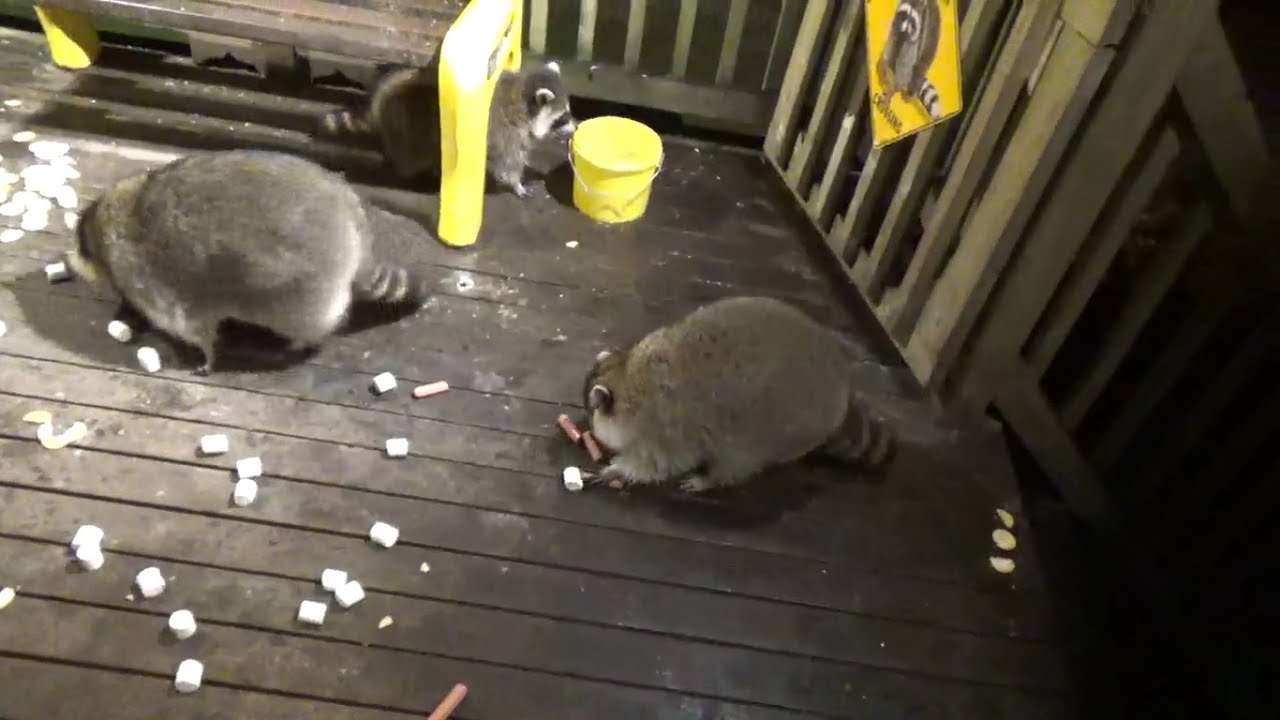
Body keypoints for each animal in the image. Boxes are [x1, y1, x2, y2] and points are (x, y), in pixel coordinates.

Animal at [67, 150, 432, 375]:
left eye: (82, 244)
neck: (111, 221)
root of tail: (353, 227)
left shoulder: (157, 283)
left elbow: (193, 326)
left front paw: (206, 354)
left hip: (302, 290)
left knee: (310, 321)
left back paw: (300, 340)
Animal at [318, 61, 575, 198]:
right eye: (562, 117)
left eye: (568, 112)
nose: (575, 128)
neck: (523, 94)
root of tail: (379, 101)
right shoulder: (507, 131)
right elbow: (508, 164)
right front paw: (517, 184)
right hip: (409, 127)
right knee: (410, 158)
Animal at [582, 296, 895, 493]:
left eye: (591, 414)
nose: (588, 431)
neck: (628, 376)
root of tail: (841, 380)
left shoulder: (665, 429)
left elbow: (659, 464)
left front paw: (617, 469)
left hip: (778, 432)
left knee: (739, 461)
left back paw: (710, 479)